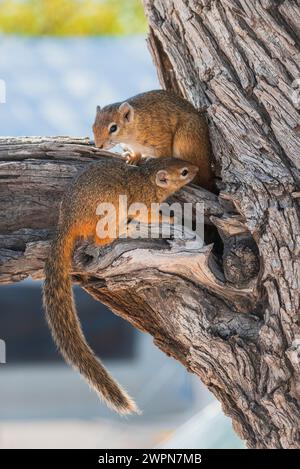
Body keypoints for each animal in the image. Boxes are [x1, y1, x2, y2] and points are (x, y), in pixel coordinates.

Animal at [42, 156, 197, 414]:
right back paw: (120, 230)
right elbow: (147, 215)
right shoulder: (142, 202)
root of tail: (68, 222)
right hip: (109, 210)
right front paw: (169, 218)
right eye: (184, 172)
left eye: (180, 161)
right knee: (100, 237)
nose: (196, 168)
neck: (146, 178)